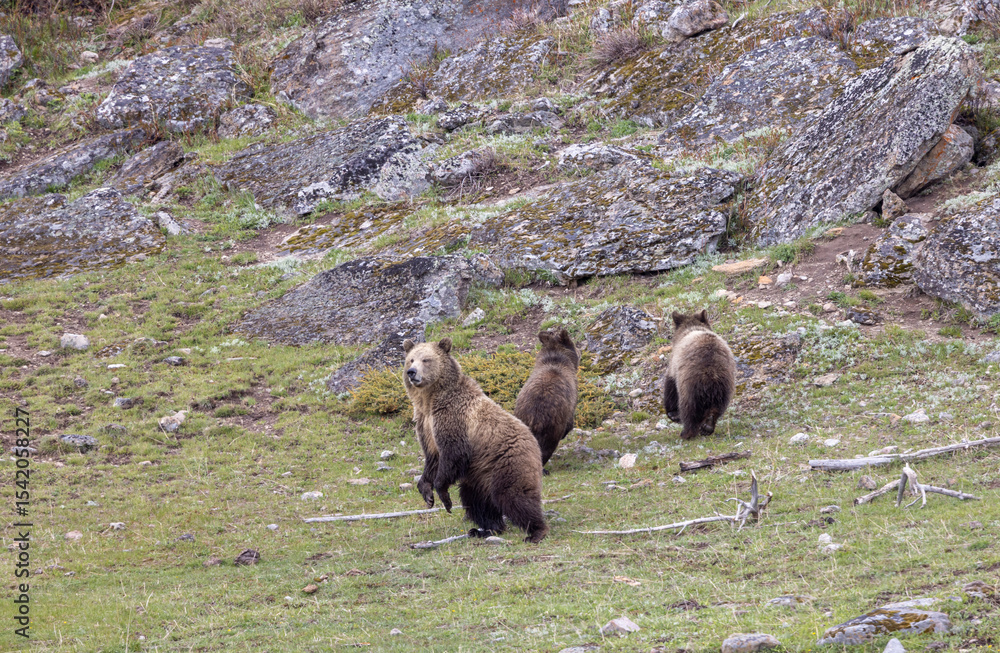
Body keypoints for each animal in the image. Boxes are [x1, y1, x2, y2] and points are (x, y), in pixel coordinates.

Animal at [402, 338, 549, 543]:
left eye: (426, 359)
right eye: (411, 359)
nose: (412, 372)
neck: (430, 400)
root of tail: (533, 440)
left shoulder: (453, 419)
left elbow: (453, 454)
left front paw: (444, 497)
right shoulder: (425, 424)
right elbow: (432, 458)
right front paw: (426, 492)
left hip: (507, 461)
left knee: (513, 494)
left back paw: (536, 531)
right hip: (478, 474)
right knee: (476, 500)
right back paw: (486, 529)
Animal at [662, 310, 736, 440]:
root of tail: (711, 372)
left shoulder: (675, 365)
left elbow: (670, 385)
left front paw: (672, 413)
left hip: (689, 384)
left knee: (689, 409)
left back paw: (687, 432)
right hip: (725, 384)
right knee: (717, 407)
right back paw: (708, 426)